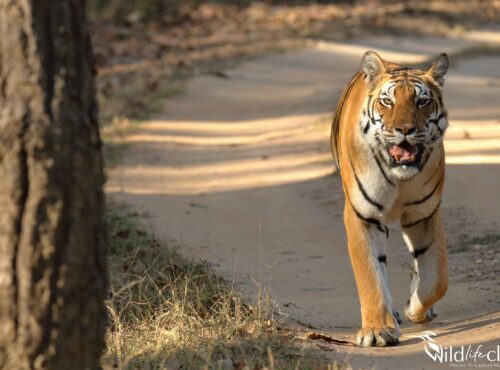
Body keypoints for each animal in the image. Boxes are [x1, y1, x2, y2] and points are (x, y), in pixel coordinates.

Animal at [332, 51, 450, 346]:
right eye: (387, 101)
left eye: (422, 101)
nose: (404, 129)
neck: (400, 177)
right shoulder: (362, 216)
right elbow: (370, 276)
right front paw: (376, 331)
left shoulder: (424, 214)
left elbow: (436, 279)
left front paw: (416, 308)